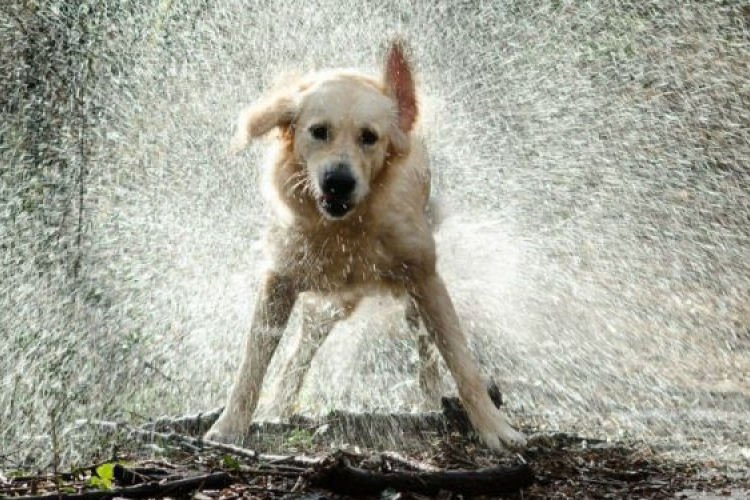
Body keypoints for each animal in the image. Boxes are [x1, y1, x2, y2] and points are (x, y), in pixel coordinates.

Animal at [203, 41, 524, 452]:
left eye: (369, 137)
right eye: (318, 131)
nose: (338, 181)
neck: (347, 228)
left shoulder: (425, 279)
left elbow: (462, 363)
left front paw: (494, 428)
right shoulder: (279, 280)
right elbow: (252, 365)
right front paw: (229, 426)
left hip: (409, 296)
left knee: (425, 349)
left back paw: (431, 398)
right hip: (329, 303)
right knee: (300, 351)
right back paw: (280, 405)